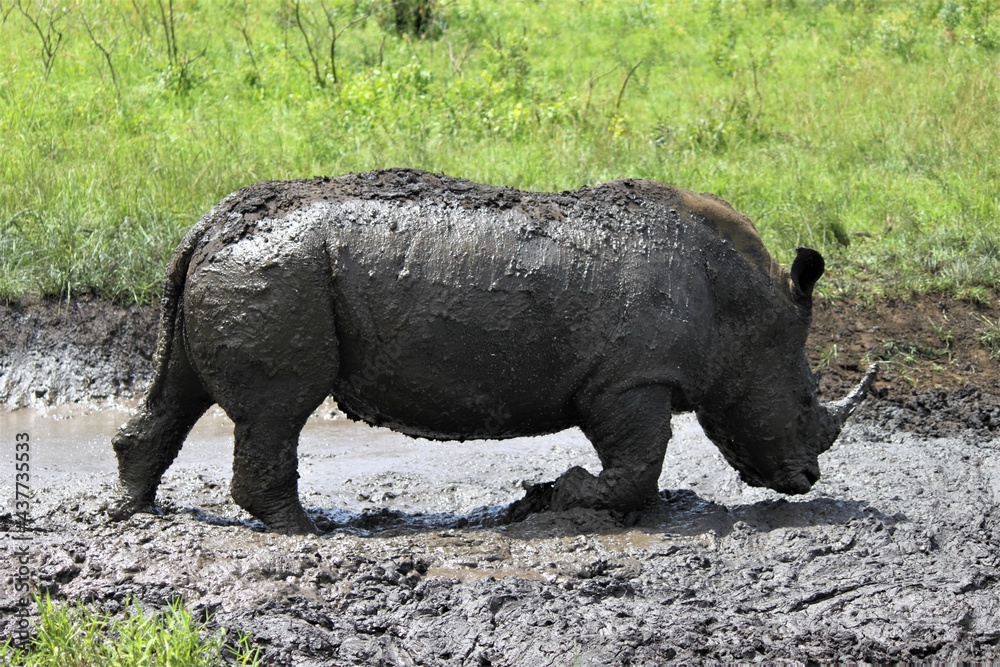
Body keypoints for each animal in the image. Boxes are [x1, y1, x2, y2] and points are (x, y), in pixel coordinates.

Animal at [111, 169, 878, 534]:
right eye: (806, 400)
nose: (807, 479)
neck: (742, 304)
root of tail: (207, 222)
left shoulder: (630, 378)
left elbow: (639, 463)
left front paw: (548, 499)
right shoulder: (631, 379)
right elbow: (636, 463)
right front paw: (549, 497)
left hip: (235, 267)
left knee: (181, 390)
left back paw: (133, 510)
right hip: (279, 274)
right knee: (278, 410)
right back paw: (310, 533)